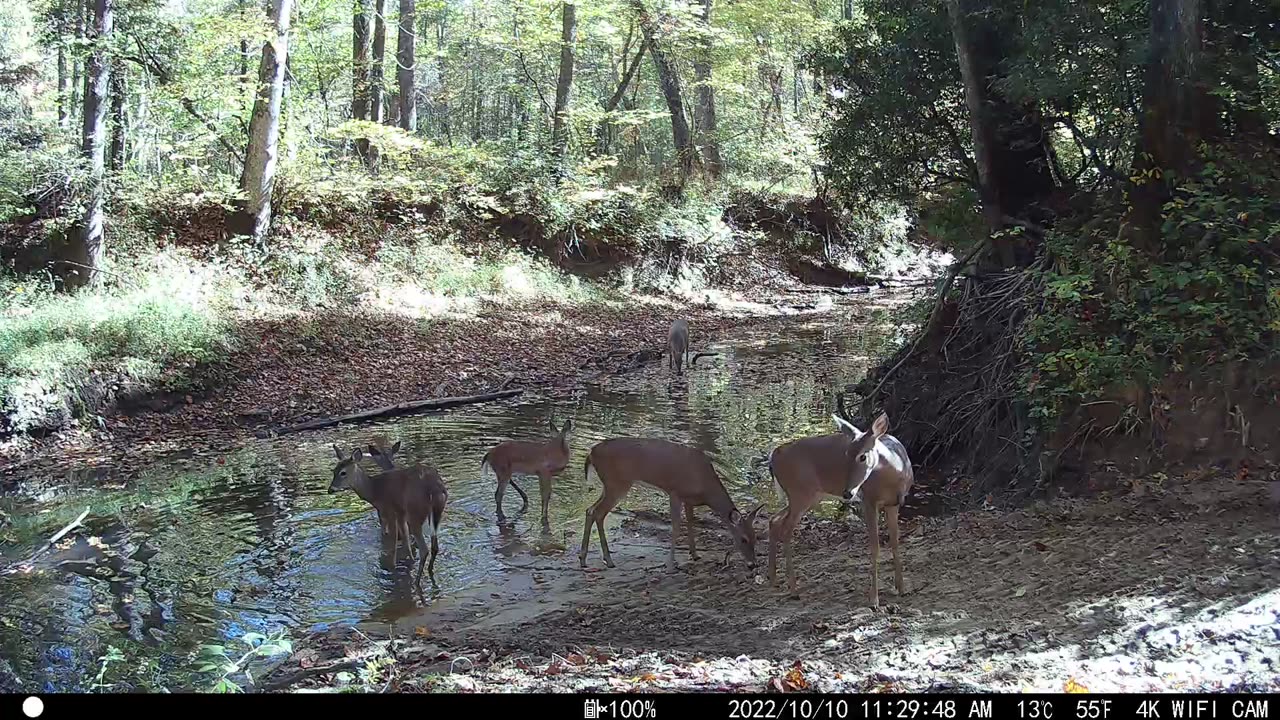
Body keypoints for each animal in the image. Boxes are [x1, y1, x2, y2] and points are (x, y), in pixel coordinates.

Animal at [327, 443, 448, 589]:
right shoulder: (401, 513)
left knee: (424, 549)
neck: (374, 491)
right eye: (333, 471)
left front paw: (393, 567)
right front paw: (409, 561)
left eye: (343, 472)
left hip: (414, 512)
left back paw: (416, 582)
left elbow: (393, 543)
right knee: (434, 546)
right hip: (436, 513)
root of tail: (435, 487)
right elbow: (406, 540)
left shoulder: (389, 511)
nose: (330, 489)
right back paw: (429, 571)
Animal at [578, 438, 757, 571]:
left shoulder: (688, 499)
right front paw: (670, 564)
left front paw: (694, 554)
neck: (706, 488)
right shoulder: (674, 492)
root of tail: (591, 453)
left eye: (755, 537)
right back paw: (608, 560)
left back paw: (584, 559)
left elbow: (691, 523)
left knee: (590, 510)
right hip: (617, 483)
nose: (753, 565)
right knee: (598, 512)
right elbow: (676, 526)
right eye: (743, 539)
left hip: (609, 485)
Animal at [762, 409, 916, 604]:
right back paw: (793, 590)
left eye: (862, 456)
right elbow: (875, 547)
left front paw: (902, 588)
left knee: (774, 520)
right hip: (800, 493)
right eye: (846, 455)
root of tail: (773, 455)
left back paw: (774, 580)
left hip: (807, 497)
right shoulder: (868, 501)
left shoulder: (894, 504)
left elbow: (895, 543)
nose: (847, 493)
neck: (896, 472)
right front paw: (874, 599)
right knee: (786, 530)